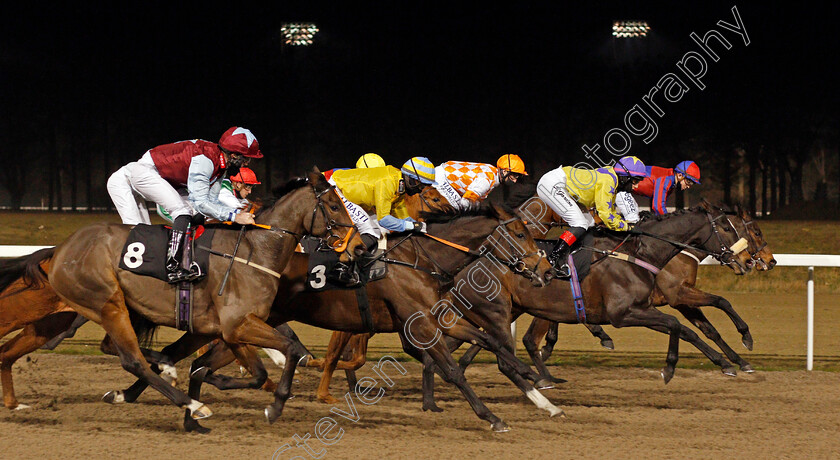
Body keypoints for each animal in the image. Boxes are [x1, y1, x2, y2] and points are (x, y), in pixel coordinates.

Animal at [1, 167, 366, 422]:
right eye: (334, 206)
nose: (361, 247)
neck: (254, 251)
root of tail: (59, 249)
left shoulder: (229, 330)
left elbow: (258, 370)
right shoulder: (238, 324)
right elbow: (287, 349)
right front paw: (275, 405)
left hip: (87, 313)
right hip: (107, 303)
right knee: (132, 359)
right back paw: (191, 402)